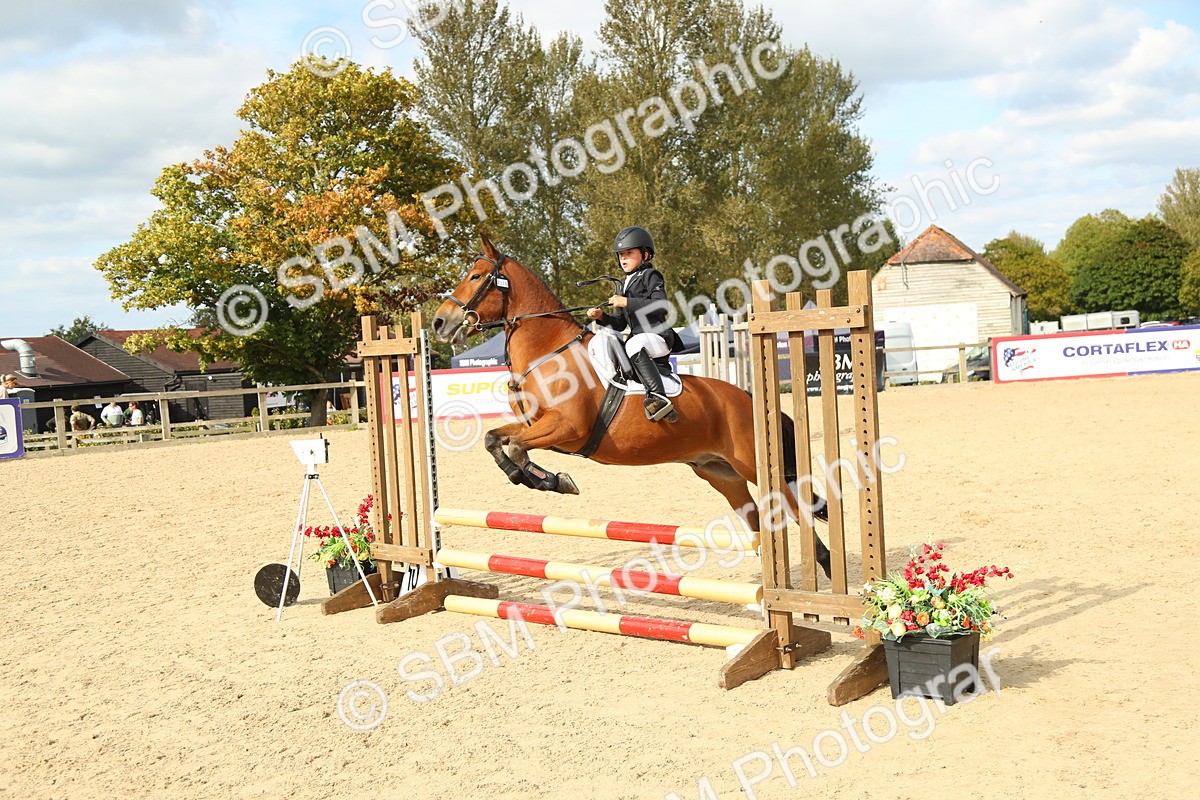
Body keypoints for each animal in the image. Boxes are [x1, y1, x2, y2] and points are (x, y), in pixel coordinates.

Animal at [431, 234, 832, 574]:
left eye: (476, 276)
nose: (439, 322)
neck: (548, 352)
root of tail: (749, 397)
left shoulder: (567, 428)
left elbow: (514, 447)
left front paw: (549, 480)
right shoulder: (539, 426)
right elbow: (495, 440)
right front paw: (540, 479)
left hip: (754, 467)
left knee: (796, 513)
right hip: (721, 473)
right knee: (761, 522)